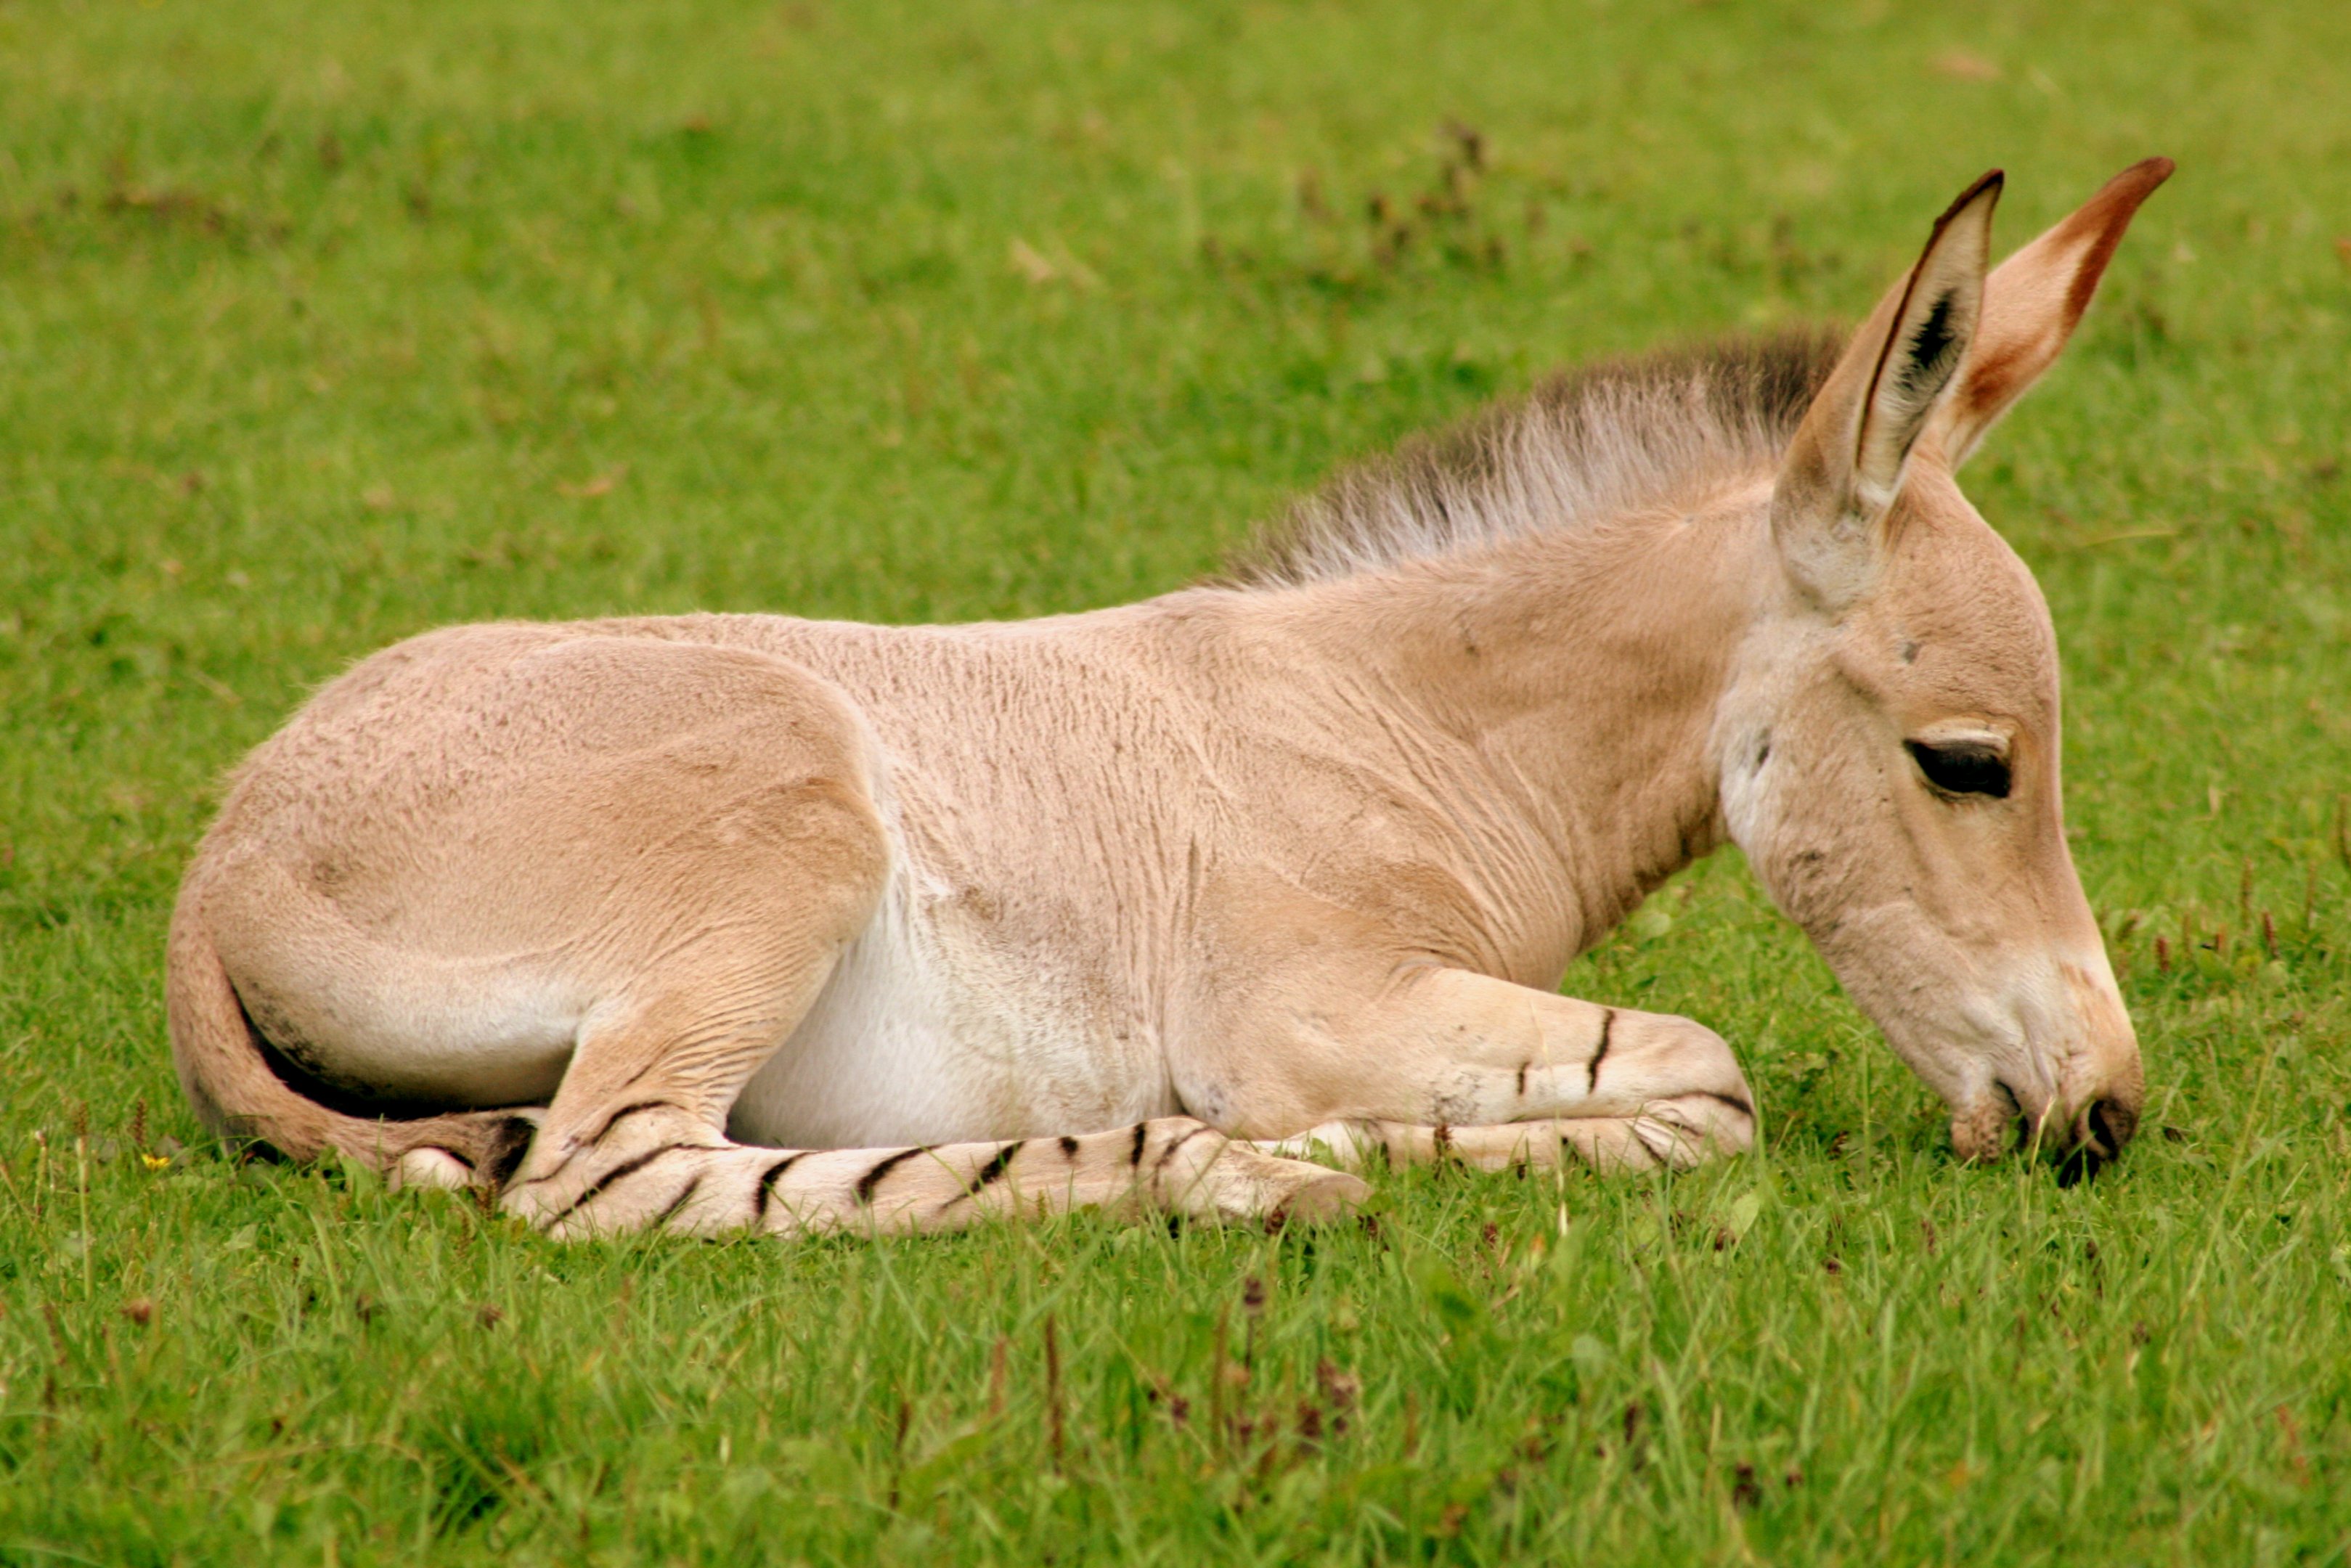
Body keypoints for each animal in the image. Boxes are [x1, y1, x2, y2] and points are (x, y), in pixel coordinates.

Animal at [165, 160, 2171, 1237]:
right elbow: (1706, 1078)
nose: (2102, 1114)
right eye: (1968, 764)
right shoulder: (1319, 1001)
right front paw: (1333, 1144)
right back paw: (1224, 1174)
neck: (1396, 729)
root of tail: (226, 854)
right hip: (780, 829)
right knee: (615, 1177)